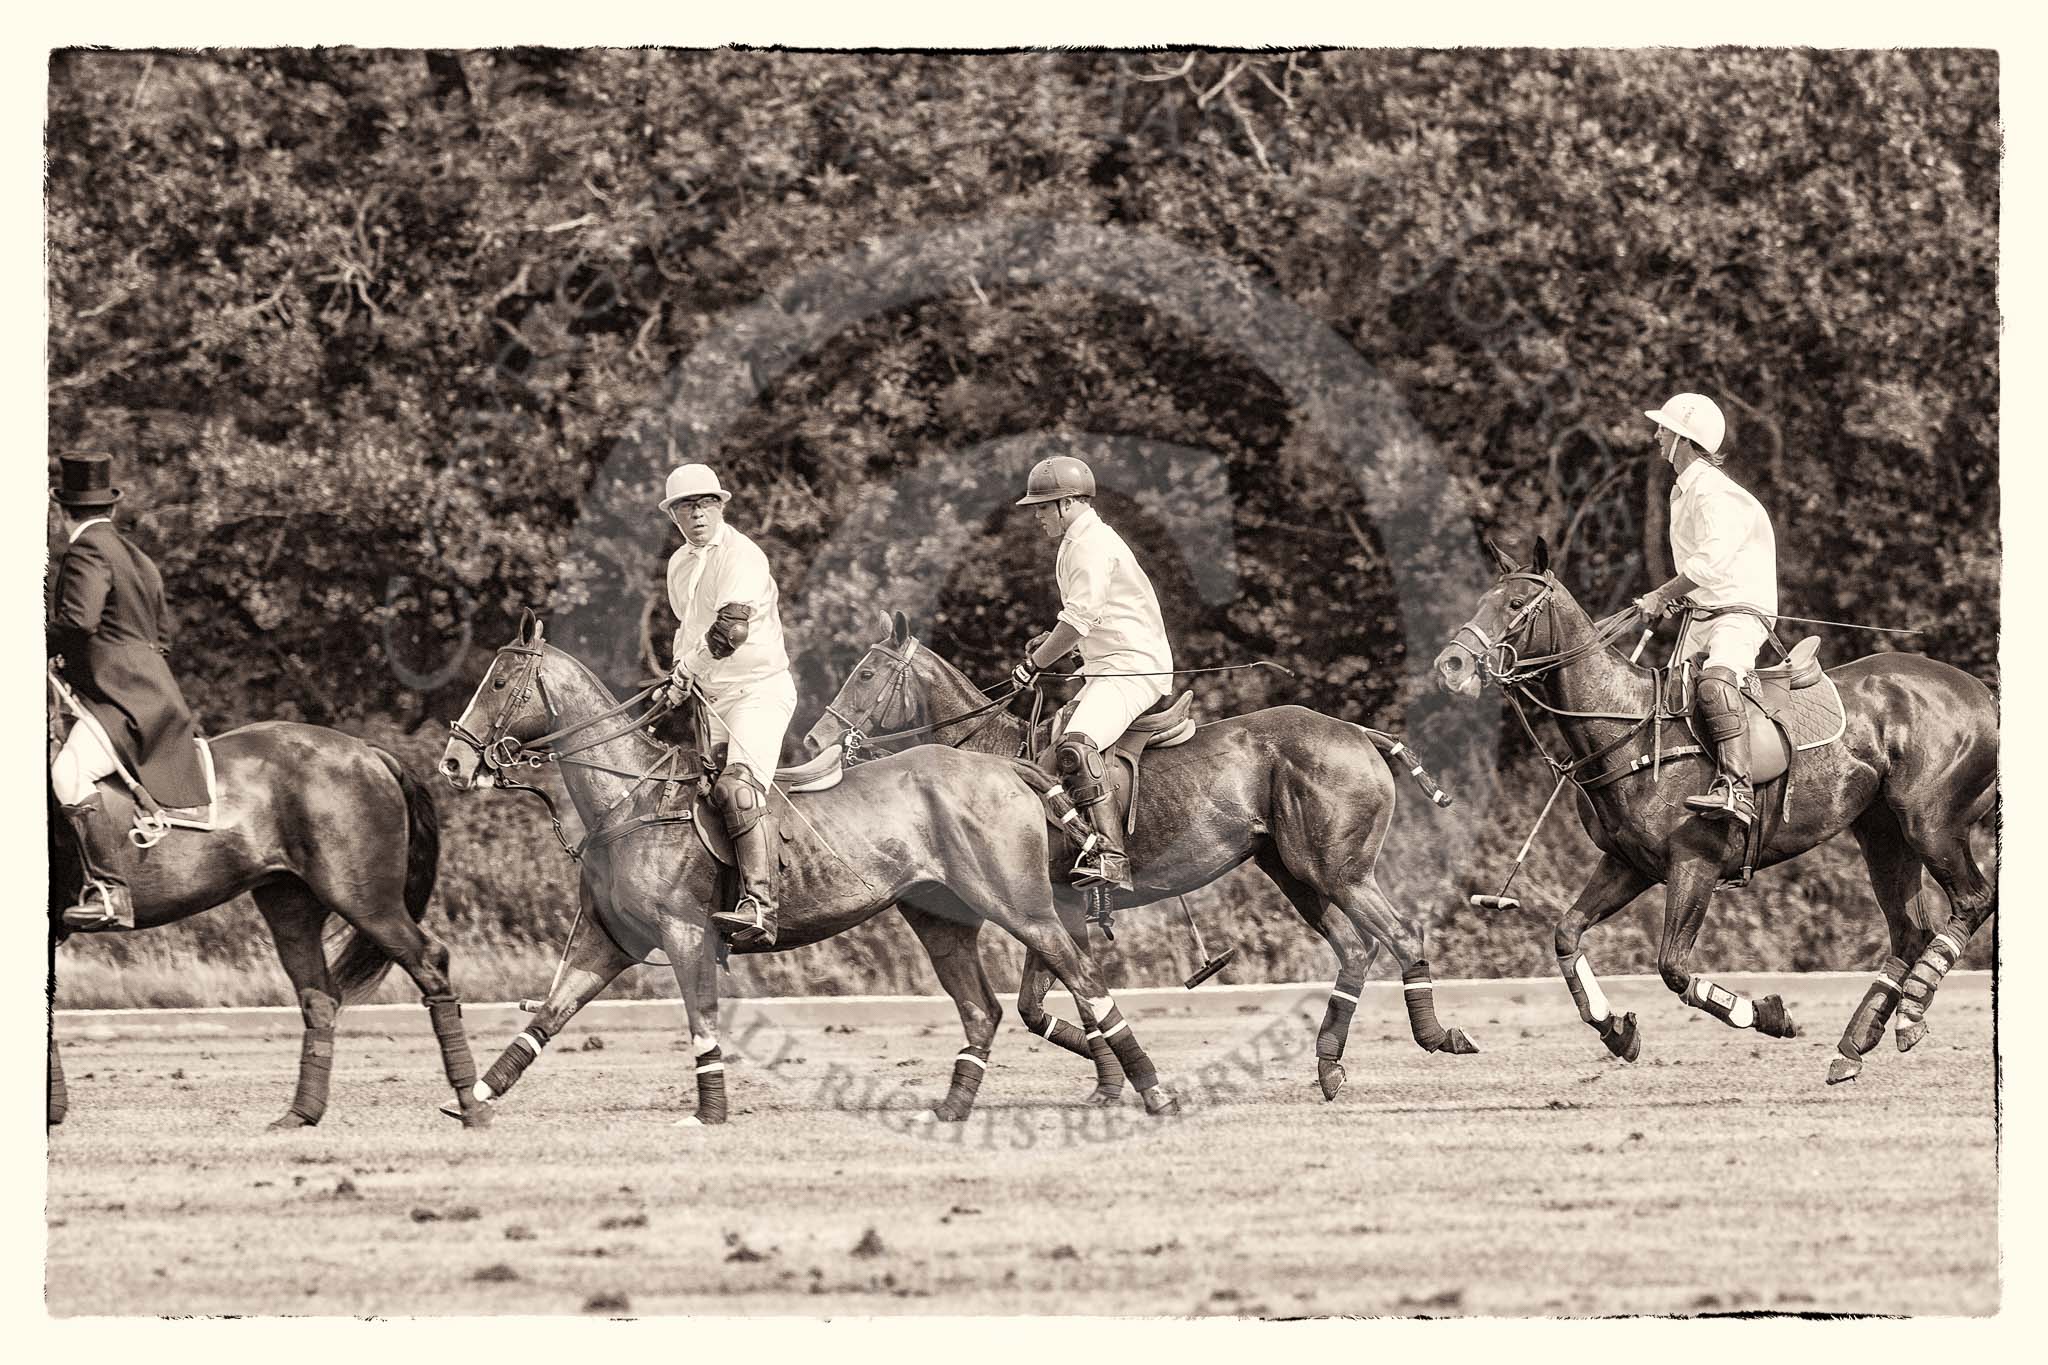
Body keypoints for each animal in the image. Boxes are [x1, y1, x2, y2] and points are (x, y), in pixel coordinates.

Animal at [46, 712, 493, 1129]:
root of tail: (366, 751)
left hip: (365, 901)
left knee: (428, 960)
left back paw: (471, 1104)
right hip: (290, 906)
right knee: (319, 996)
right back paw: (300, 1114)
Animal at [444, 613, 1187, 1129]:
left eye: (500, 682)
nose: (453, 762)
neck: (630, 799)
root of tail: (1008, 767)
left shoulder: (685, 933)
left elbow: (702, 1019)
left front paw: (709, 1112)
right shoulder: (605, 939)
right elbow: (548, 1013)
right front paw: (475, 1097)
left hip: (1022, 904)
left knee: (1083, 977)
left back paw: (1153, 1089)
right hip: (939, 917)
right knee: (983, 1008)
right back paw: (952, 1108)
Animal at [798, 613, 1474, 1105]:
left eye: (866, 674)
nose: (812, 739)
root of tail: (1362, 734)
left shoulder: (1052, 905)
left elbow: (1055, 998)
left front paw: (1117, 1080)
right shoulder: (1062, 909)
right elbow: (1041, 1006)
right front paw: (1109, 1081)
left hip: (1337, 868)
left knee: (1400, 934)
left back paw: (1435, 1035)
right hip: (1292, 871)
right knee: (1356, 948)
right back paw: (1330, 1066)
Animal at [1433, 540, 1990, 1080]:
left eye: (1516, 603)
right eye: (1484, 598)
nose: (1451, 665)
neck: (1627, 728)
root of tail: (1985, 694)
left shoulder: (1695, 862)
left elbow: (1673, 967)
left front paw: (1770, 1015)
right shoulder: (1629, 864)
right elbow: (1566, 933)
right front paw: (1615, 1030)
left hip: (1930, 822)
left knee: (1972, 900)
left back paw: (1910, 1014)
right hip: (1882, 834)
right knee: (1910, 930)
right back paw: (1855, 1045)